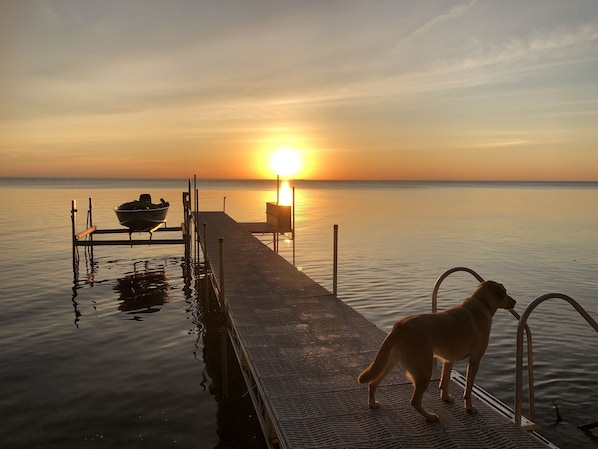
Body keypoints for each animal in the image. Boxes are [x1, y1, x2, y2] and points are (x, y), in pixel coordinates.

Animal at [358, 280, 516, 420]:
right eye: (505, 293)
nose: (514, 302)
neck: (481, 302)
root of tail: (400, 326)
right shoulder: (475, 361)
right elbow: (468, 390)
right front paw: (469, 408)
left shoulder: (448, 359)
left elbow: (445, 382)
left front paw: (446, 398)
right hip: (423, 371)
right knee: (414, 401)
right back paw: (429, 417)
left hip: (390, 362)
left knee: (373, 383)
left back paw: (372, 403)